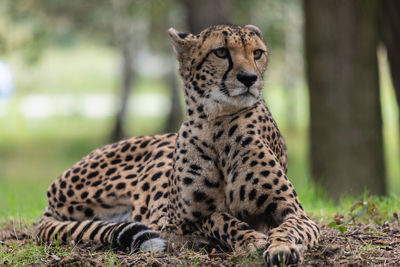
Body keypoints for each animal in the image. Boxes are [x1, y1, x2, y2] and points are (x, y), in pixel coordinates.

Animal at [36, 24, 318, 266]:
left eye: (257, 53)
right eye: (221, 52)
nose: (249, 78)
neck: (217, 122)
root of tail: (50, 196)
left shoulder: (296, 213)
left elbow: (289, 227)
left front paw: (281, 247)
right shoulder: (172, 222)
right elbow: (218, 217)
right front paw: (250, 239)